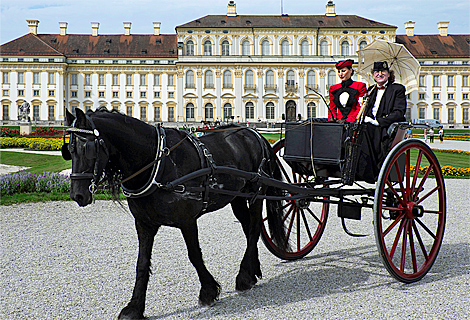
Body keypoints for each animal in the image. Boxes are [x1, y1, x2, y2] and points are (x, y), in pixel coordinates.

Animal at [62, 109, 286, 318]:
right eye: (69, 151)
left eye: (87, 148)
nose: (77, 195)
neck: (156, 162)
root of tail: (254, 133)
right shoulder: (143, 223)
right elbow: (142, 263)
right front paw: (134, 307)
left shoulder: (187, 220)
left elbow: (194, 254)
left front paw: (208, 291)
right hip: (237, 198)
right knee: (248, 229)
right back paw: (252, 271)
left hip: (255, 192)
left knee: (254, 228)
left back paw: (244, 277)